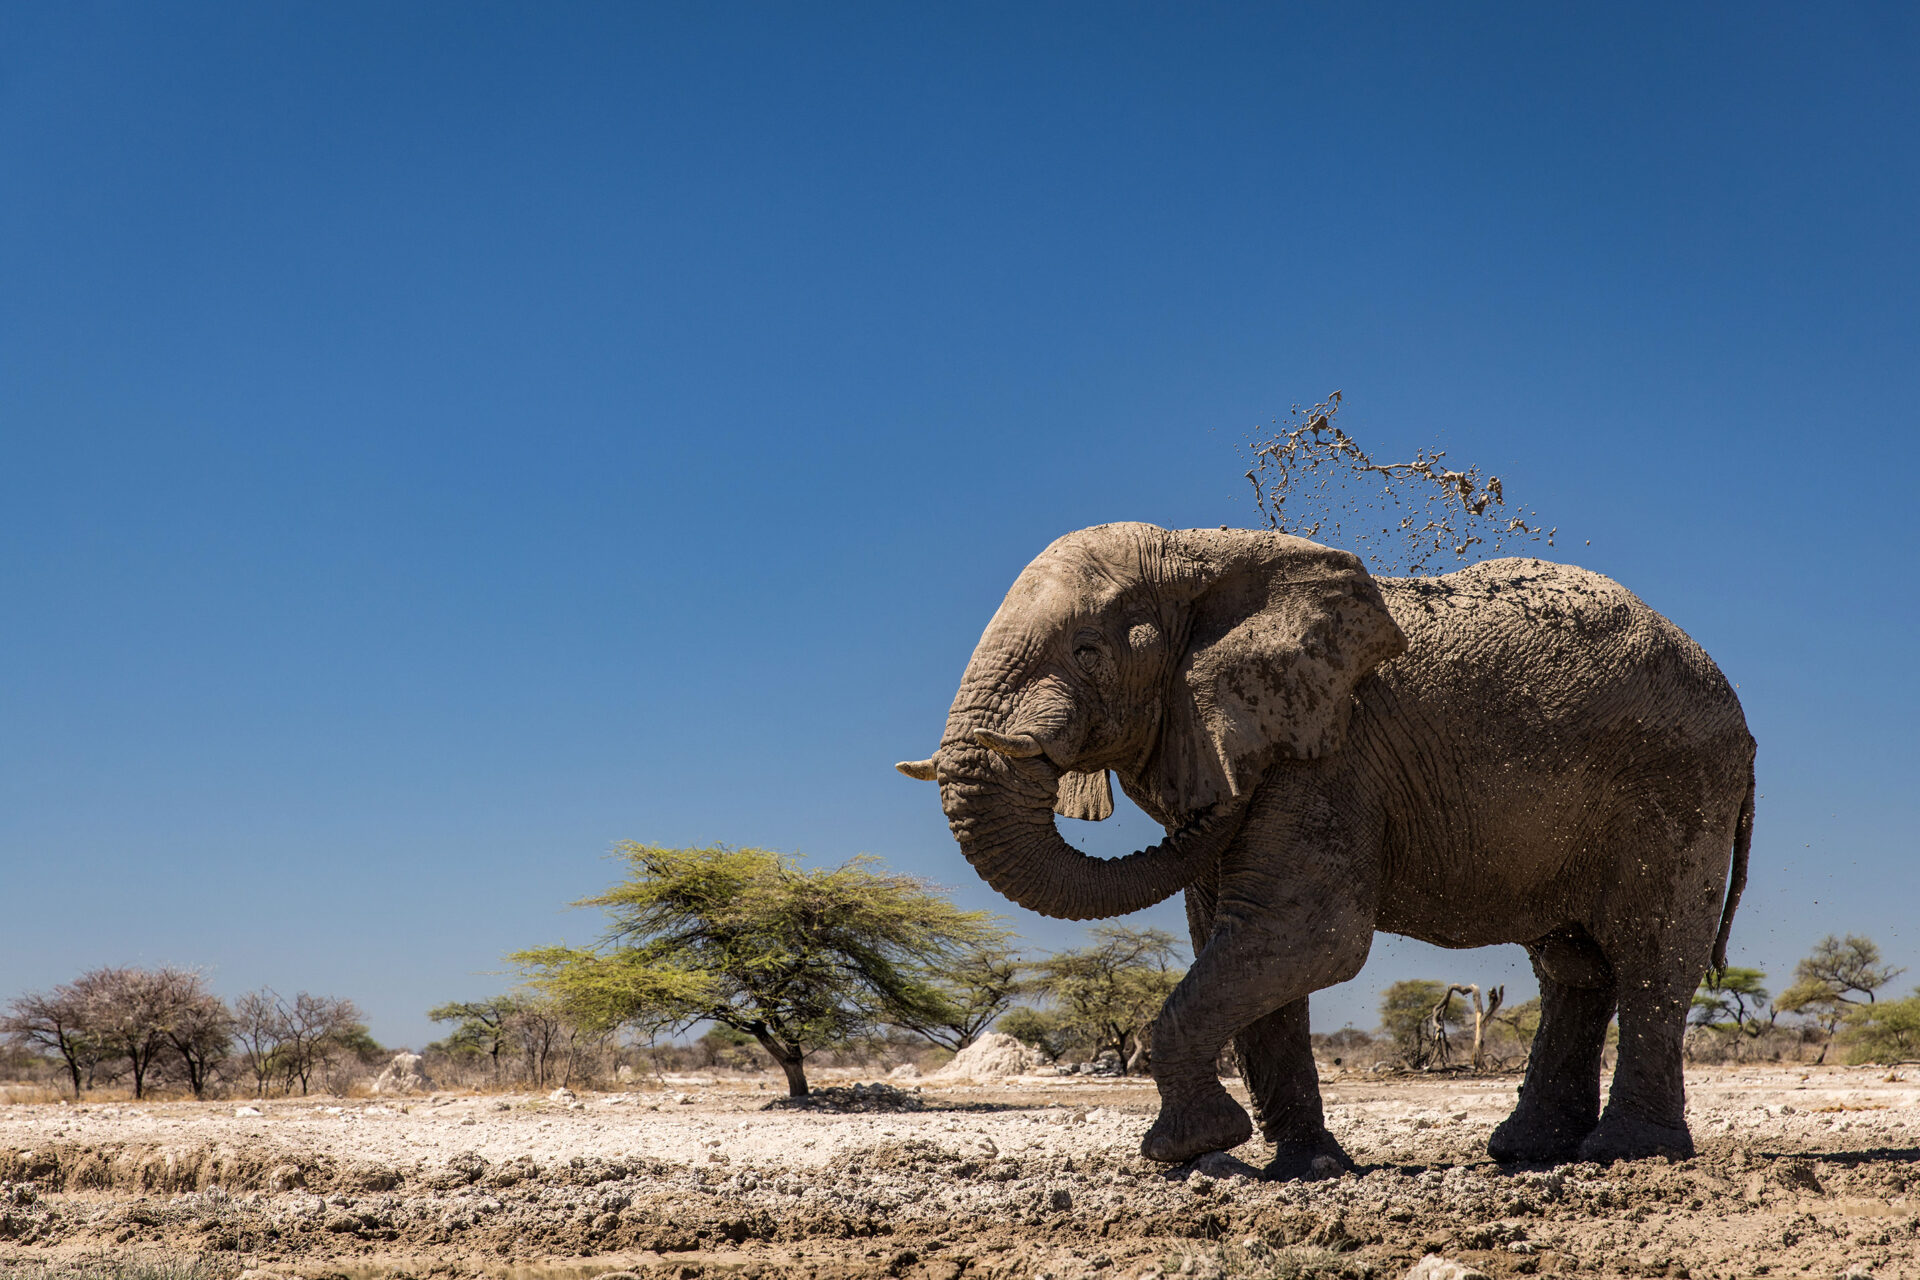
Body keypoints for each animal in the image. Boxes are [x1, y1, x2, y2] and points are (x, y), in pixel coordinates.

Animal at [896, 522, 1754, 1173]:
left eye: (1087, 652)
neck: (1199, 552)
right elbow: (1237, 942)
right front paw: (1306, 1168)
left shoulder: (1325, 755)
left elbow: (1308, 935)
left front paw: (1189, 1149)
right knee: (1574, 967)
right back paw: (1528, 1151)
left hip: (1680, 788)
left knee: (1650, 957)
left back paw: (1627, 1154)